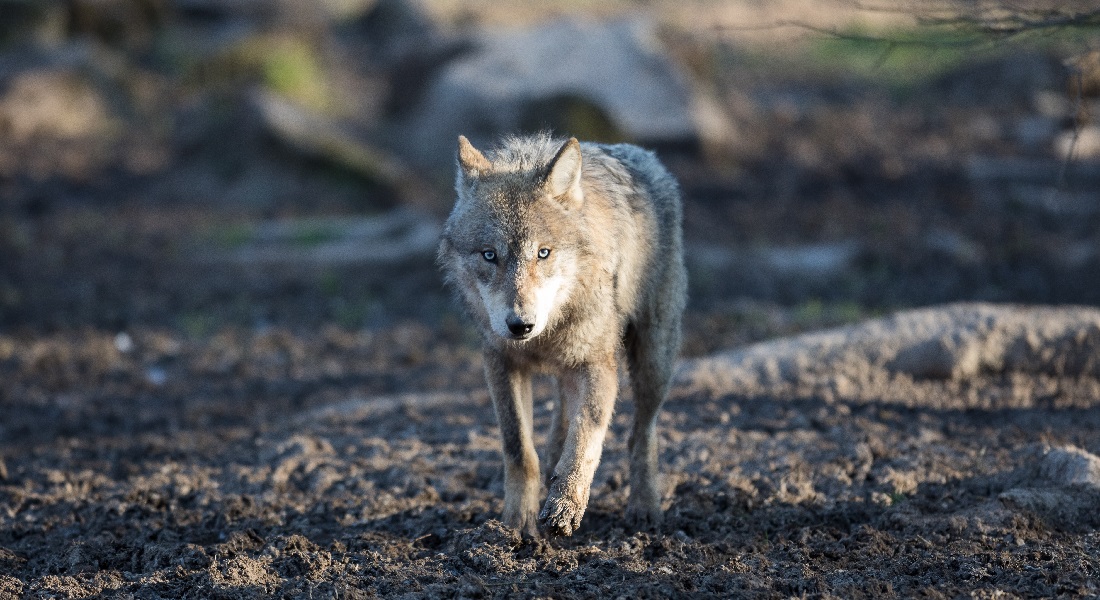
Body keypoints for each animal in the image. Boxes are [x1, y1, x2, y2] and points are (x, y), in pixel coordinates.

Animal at [433, 132, 682, 532]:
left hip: (653, 363)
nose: (520, 325)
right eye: (489, 255)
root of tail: (645, 155)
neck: (546, 333)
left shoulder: (598, 366)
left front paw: (566, 504)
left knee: (640, 435)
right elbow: (519, 449)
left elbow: (586, 438)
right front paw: (516, 524)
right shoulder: (500, 363)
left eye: (543, 253)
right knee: (559, 426)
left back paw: (644, 507)